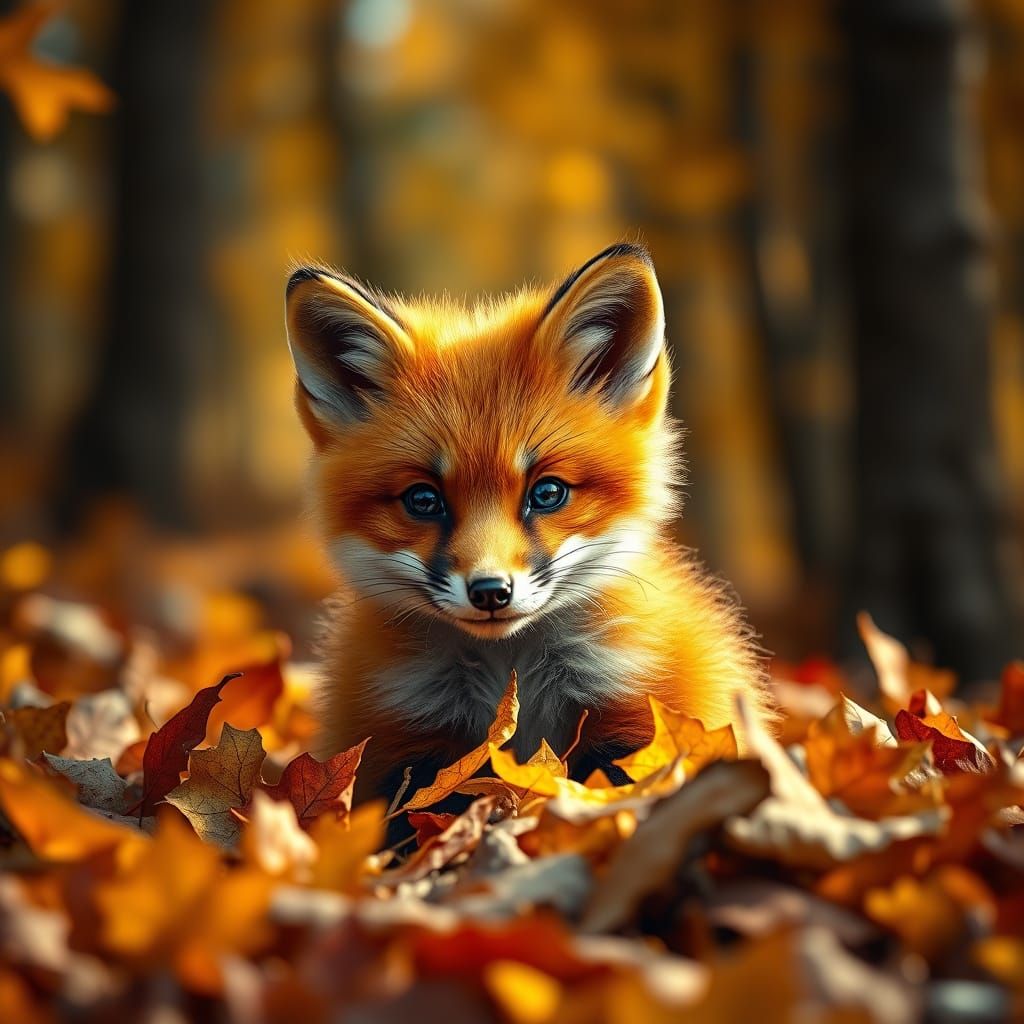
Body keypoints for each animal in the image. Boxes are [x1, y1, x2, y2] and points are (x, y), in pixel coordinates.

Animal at [285, 243, 777, 807]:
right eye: (424, 500)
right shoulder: (406, 743)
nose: (491, 591)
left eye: (546, 493)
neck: (513, 677)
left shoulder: (633, 717)